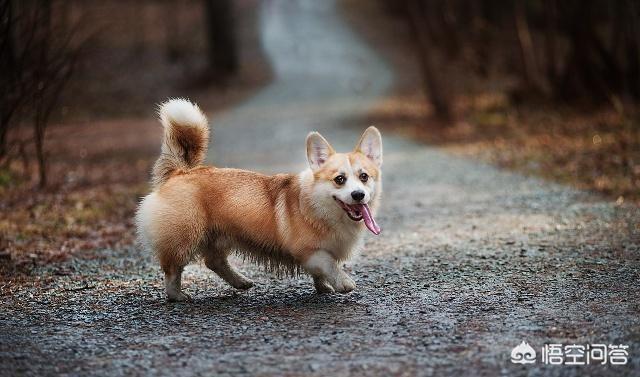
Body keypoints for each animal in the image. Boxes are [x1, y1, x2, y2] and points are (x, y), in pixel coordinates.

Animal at [137, 98, 382, 302]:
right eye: (339, 179)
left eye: (364, 177)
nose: (358, 195)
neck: (322, 207)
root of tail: (180, 172)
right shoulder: (309, 252)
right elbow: (329, 265)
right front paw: (343, 283)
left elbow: (320, 274)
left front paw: (324, 288)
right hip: (185, 236)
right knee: (173, 269)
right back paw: (177, 296)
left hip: (219, 235)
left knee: (214, 262)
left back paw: (241, 282)